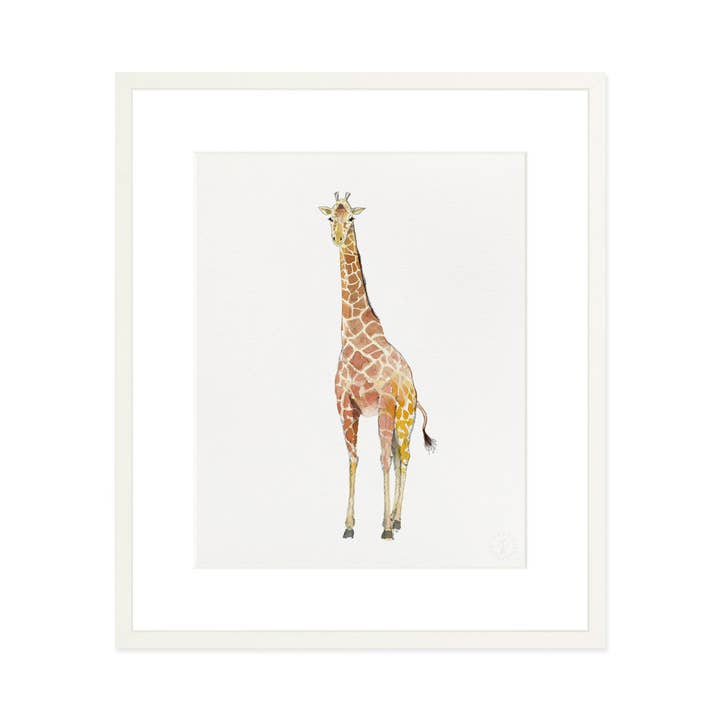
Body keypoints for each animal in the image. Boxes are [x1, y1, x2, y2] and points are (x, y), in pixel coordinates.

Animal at [319, 192, 436, 540]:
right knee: (398, 457)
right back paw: (395, 518)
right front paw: (349, 525)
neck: (354, 336)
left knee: (403, 458)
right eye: (330, 217)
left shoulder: (383, 402)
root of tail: (415, 390)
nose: (337, 237)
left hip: (404, 415)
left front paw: (383, 527)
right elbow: (353, 457)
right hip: (400, 419)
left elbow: (382, 459)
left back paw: (395, 521)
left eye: (351, 218)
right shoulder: (345, 404)